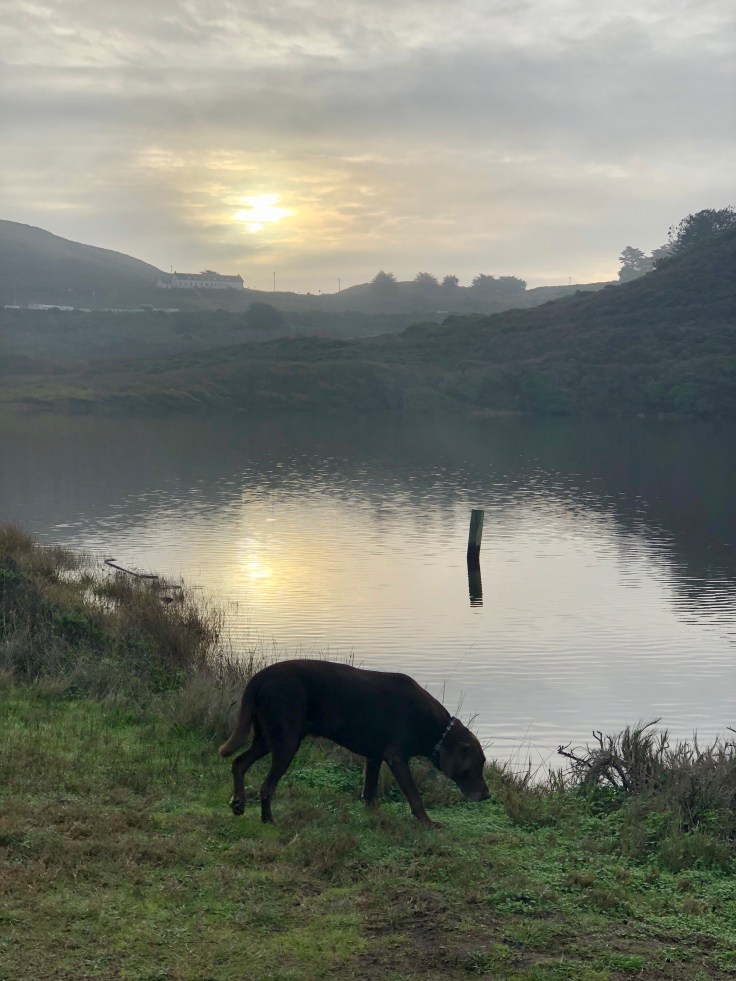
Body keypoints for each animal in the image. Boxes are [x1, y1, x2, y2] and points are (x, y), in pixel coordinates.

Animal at [219, 659, 490, 825]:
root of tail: (259, 677)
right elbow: (414, 795)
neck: (436, 728)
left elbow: (369, 791)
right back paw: (269, 820)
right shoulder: (396, 757)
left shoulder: (375, 756)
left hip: (267, 738)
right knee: (266, 786)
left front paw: (374, 816)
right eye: (474, 767)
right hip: (286, 742)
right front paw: (427, 822)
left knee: (239, 763)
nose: (487, 795)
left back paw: (238, 804)